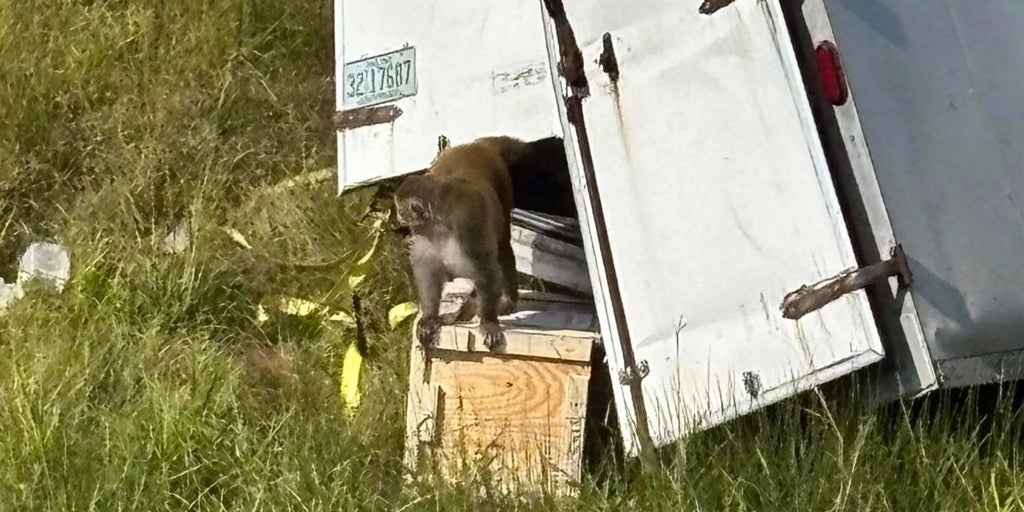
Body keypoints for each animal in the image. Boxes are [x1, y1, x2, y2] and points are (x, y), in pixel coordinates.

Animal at [394, 136, 529, 351]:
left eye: (400, 209)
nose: (399, 216)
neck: (438, 223)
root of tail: (476, 145)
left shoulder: (467, 224)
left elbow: (485, 268)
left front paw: (488, 322)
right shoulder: (424, 235)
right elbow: (428, 271)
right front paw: (430, 317)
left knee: (502, 246)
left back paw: (508, 299)